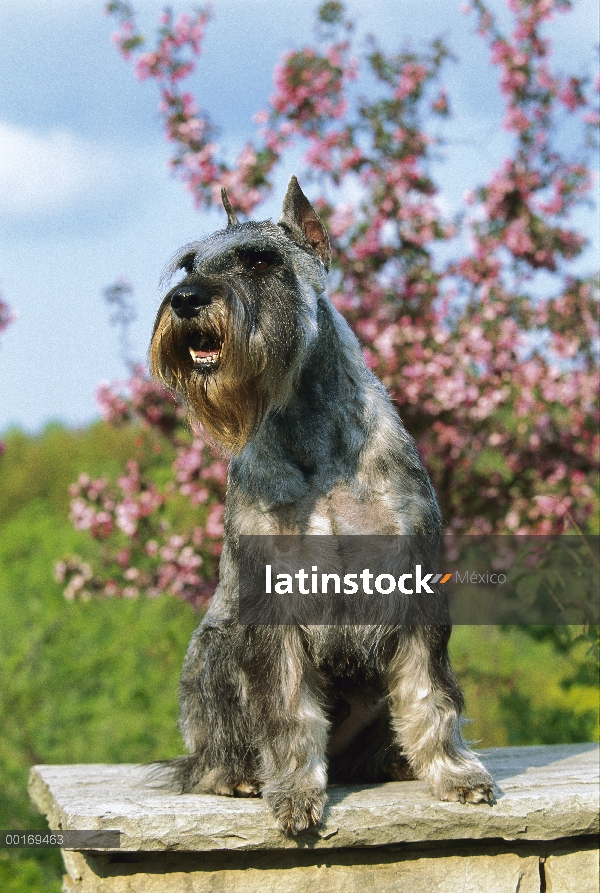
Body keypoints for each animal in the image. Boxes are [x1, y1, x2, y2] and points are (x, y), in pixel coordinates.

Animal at [148, 178, 494, 832]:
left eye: (262, 261)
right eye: (187, 265)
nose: (185, 300)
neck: (309, 428)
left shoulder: (412, 581)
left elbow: (431, 694)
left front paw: (455, 773)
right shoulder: (271, 603)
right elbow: (286, 712)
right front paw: (293, 792)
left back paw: (396, 761)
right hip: (215, 653)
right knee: (208, 755)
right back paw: (234, 775)